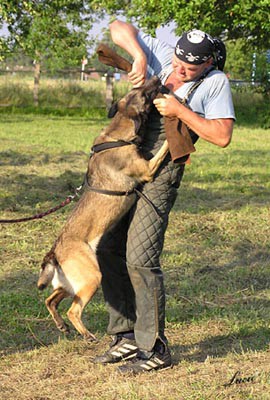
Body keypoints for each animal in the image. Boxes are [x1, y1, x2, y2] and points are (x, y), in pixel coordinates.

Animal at [38, 76, 169, 340]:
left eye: (137, 88)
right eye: (144, 94)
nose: (155, 78)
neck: (118, 132)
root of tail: (55, 252)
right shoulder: (148, 169)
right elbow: (163, 149)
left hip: (71, 285)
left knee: (51, 300)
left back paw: (61, 325)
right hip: (91, 278)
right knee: (72, 310)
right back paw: (86, 334)